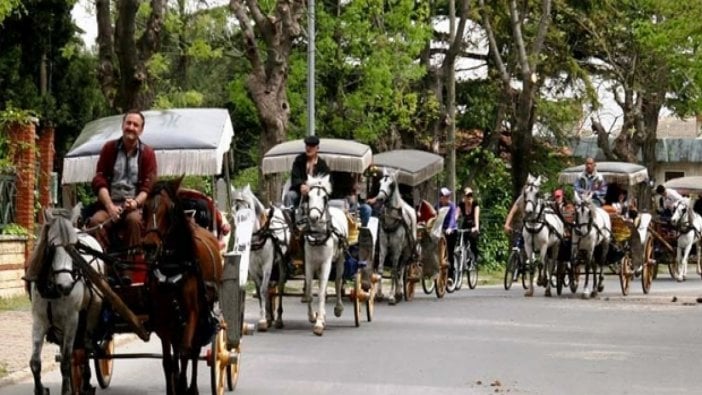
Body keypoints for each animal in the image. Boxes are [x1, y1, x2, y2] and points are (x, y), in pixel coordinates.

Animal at [29, 206, 104, 395]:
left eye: (74, 247)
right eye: (52, 246)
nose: (66, 285)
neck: (52, 291)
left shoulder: (71, 320)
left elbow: (66, 361)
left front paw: (67, 389)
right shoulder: (39, 320)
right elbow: (35, 363)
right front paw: (41, 389)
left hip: (90, 312)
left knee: (86, 348)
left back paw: (86, 382)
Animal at [141, 178, 223, 394]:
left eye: (170, 209)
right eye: (144, 207)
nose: (150, 246)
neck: (172, 267)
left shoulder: (193, 313)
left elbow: (187, 353)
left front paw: (184, 386)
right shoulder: (163, 320)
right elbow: (168, 361)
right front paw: (174, 387)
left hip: (201, 315)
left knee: (193, 351)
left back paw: (192, 386)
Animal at [232, 186, 290, 332]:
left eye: (249, 208)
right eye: (234, 209)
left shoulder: (267, 265)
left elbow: (263, 289)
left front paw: (263, 320)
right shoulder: (252, 268)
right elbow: (259, 291)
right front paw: (265, 318)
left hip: (281, 265)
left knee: (280, 288)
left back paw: (278, 319)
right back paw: (270, 317)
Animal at [304, 175, 348, 336]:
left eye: (324, 198)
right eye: (308, 196)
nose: (314, 217)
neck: (318, 235)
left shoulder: (326, 263)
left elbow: (322, 293)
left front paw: (319, 323)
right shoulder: (309, 263)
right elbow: (310, 292)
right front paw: (313, 316)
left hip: (341, 258)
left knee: (338, 281)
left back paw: (338, 308)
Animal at [380, 171, 418, 306]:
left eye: (391, 184)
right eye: (380, 182)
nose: (379, 198)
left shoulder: (396, 248)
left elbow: (393, 271)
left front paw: (391, 296)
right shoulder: (383, 246)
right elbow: (380, 269)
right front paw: (378, 294)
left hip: (406, 252)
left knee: (400, 269)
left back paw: (399, 292)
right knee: (398, 270)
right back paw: (398, 292)